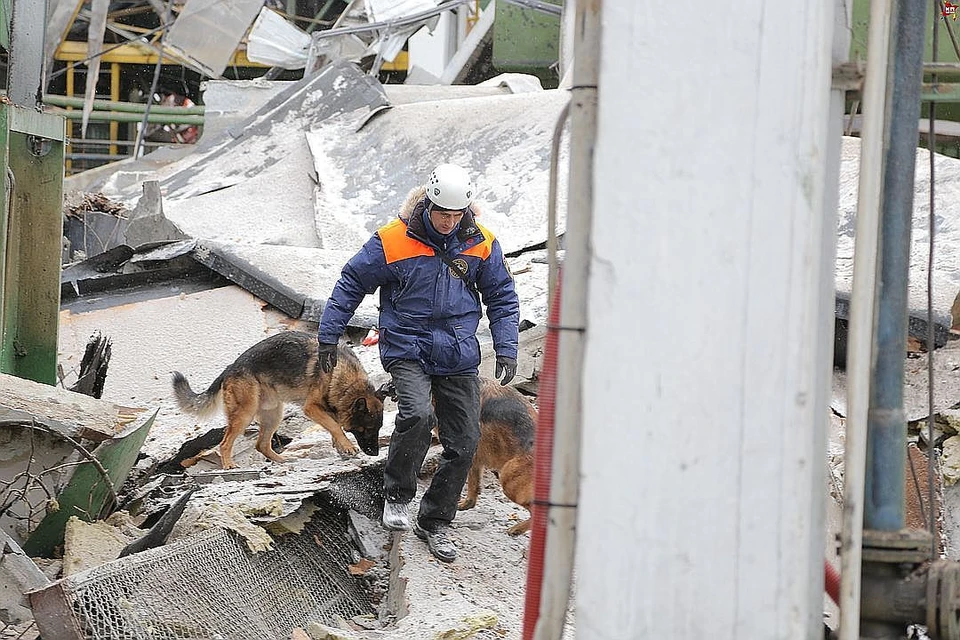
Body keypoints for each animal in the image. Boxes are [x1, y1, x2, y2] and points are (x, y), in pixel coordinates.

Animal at [174, 332, 384, 468]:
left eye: (378, 429)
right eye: (366, 429)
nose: (375, 453)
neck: (346, 380)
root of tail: (230, 368)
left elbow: (334, 425)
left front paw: (341, 447)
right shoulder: (311, 408)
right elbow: (334, 425)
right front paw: (347, 446)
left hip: (273, 415)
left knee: (261, 445)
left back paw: (282, 460)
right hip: (245, 414)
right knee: (225, 444)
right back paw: (228, 465)